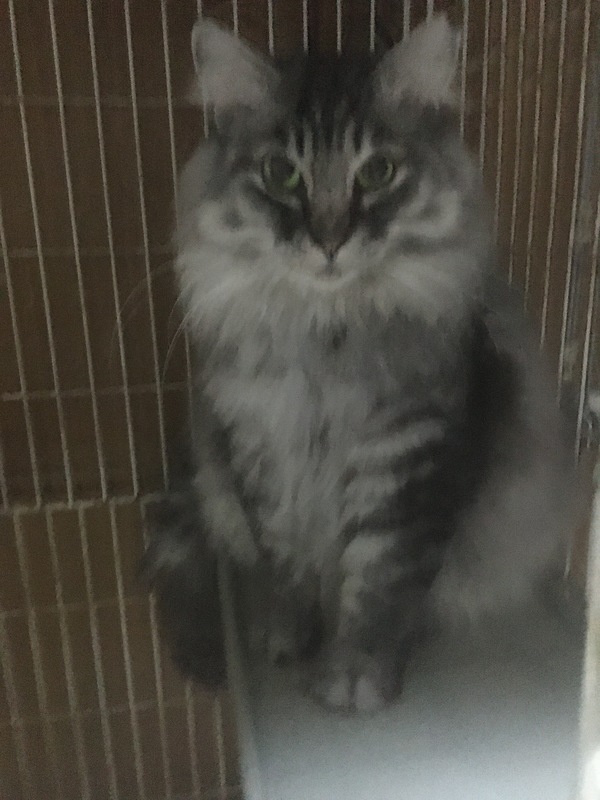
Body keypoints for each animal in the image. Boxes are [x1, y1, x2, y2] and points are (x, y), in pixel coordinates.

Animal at [144, 14, 576, 713]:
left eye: (376, 173)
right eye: (281, 173)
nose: (329, 240)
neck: (326, 338)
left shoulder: (406, 462)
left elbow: (380, 583)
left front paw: (355, 675)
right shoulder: (263, 454)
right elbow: (287, 567)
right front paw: (290, 638)